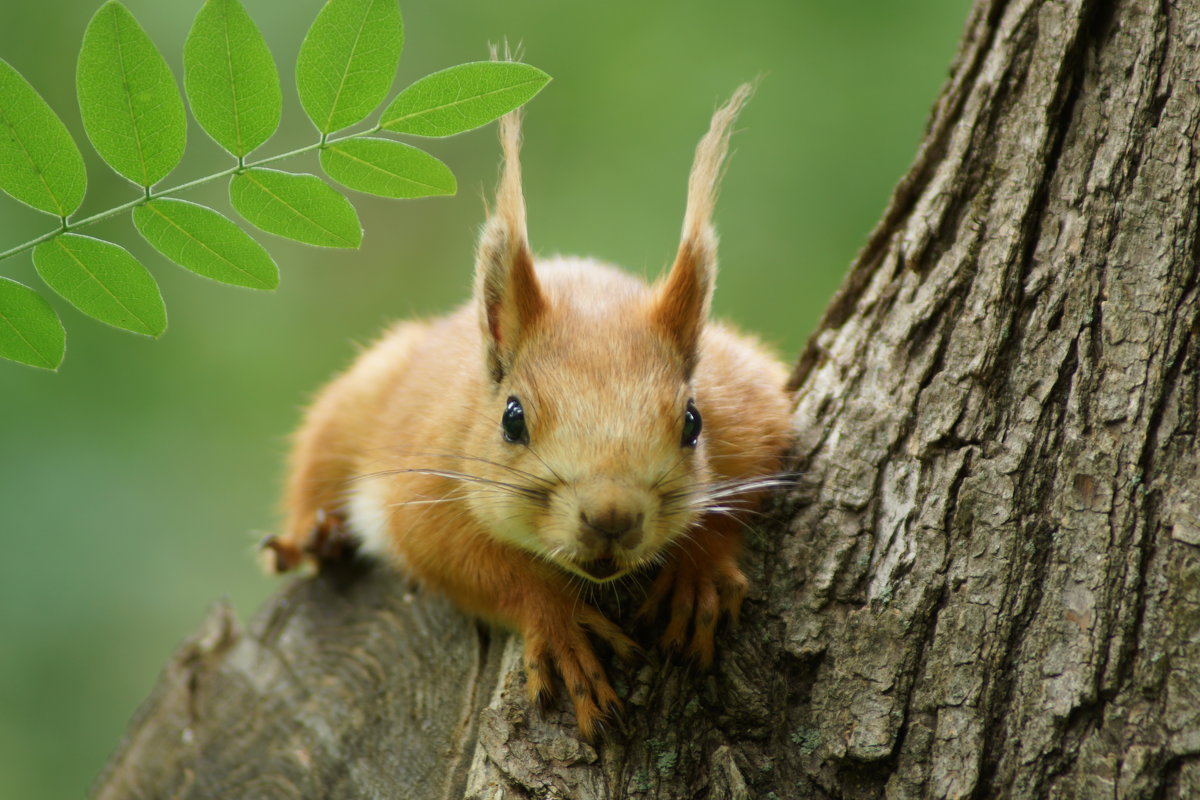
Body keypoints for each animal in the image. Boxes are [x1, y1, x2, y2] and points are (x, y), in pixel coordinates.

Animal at [264, 84, 792, 743]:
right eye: (512, 420)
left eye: (693, 423)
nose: (612, 517)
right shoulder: (426, 480)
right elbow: (468, 562)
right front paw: (561, 622)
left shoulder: (757, 409)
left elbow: (737, 498)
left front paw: (697, 574)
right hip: (359, 399)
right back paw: (314, 535)